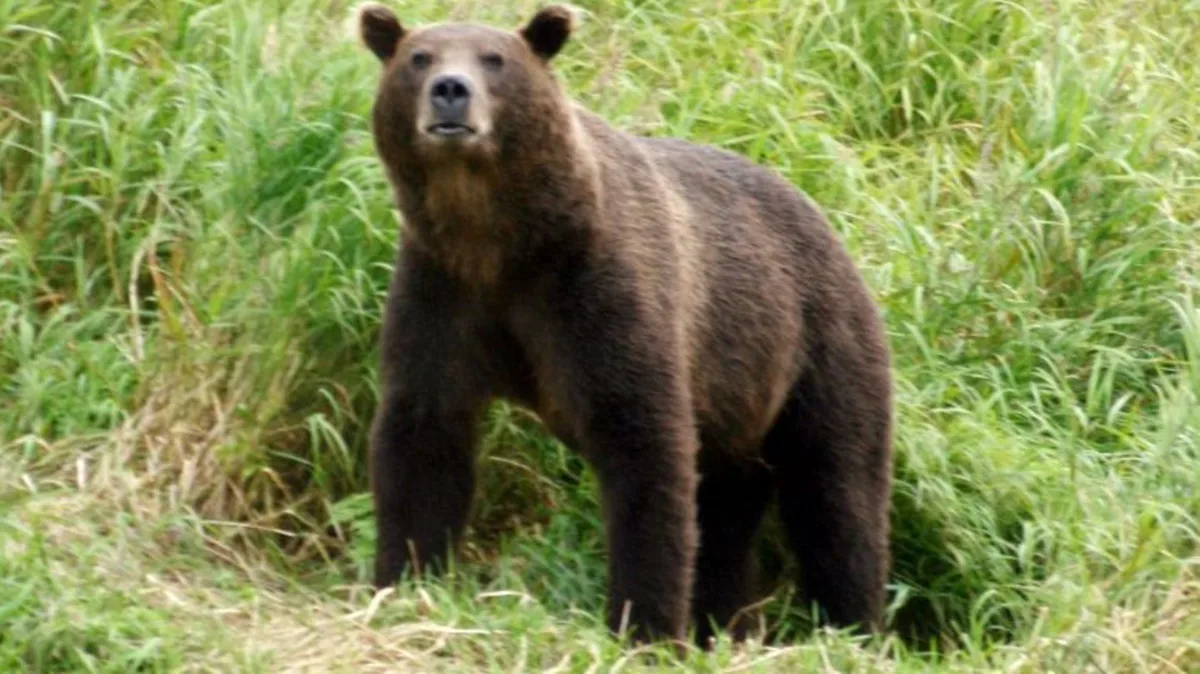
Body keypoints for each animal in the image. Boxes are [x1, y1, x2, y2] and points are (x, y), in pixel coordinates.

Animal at [356, 3, 894, 648]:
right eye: (419, 57)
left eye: (495, 59)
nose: (450, 91)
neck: (499, 240)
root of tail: (830, 224)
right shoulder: (443, 291)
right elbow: (423, 434)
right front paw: (402, 582)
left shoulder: (597, 288)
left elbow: (644, 444)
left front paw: (644, 623)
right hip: (739, 403)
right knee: (728, 509)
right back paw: (726, 622)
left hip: (815, 344)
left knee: (837, 492)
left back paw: (853, 624)